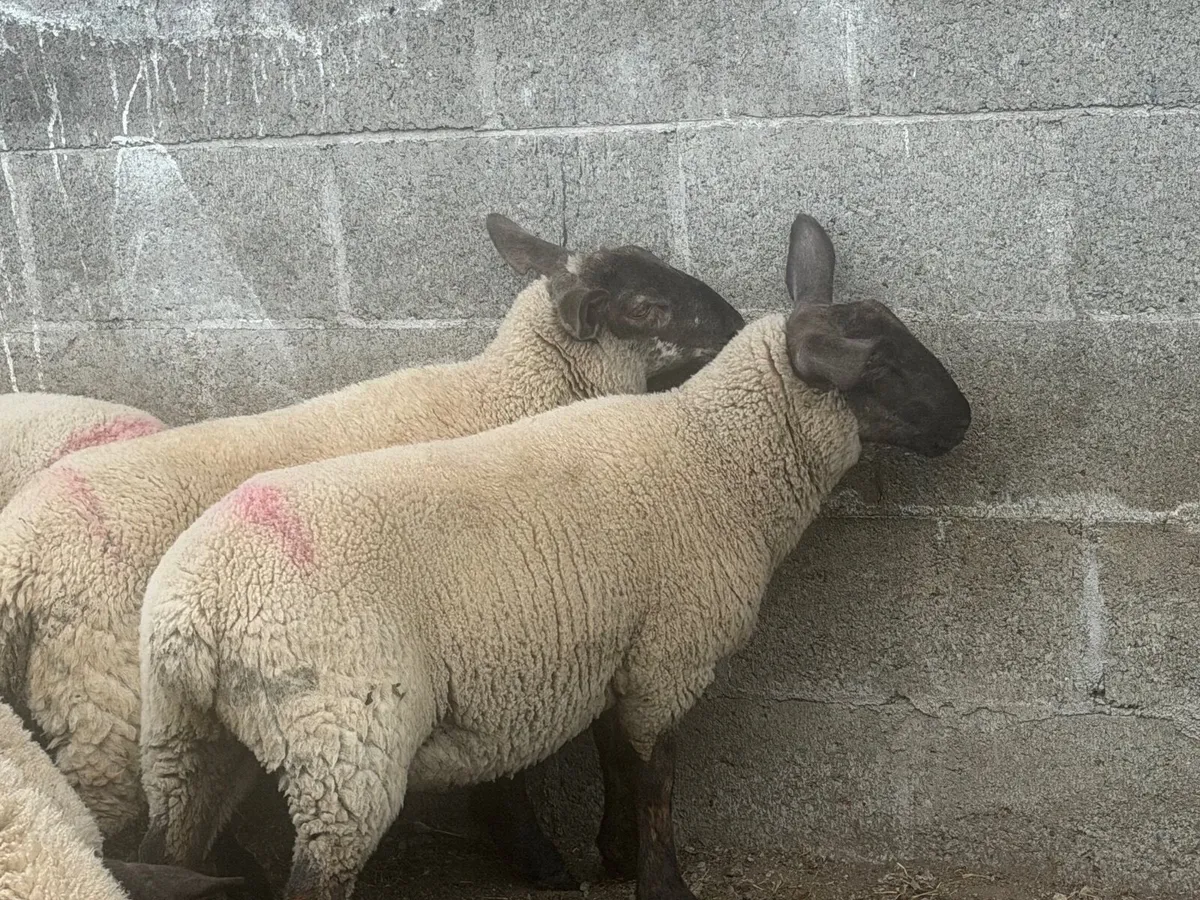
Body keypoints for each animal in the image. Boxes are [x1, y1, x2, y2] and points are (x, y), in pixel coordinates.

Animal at [136, 212, 972, 900]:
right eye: (882, 368)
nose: (963, 421)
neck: (717, 454)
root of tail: (193, 611)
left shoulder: (616, 647)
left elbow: (615, 758)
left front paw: (615, 854)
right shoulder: (669, 654)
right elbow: (657, 777)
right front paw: (662, 883)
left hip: (186, 745)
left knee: (168, 849)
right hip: (342, 748)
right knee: (316, 876)